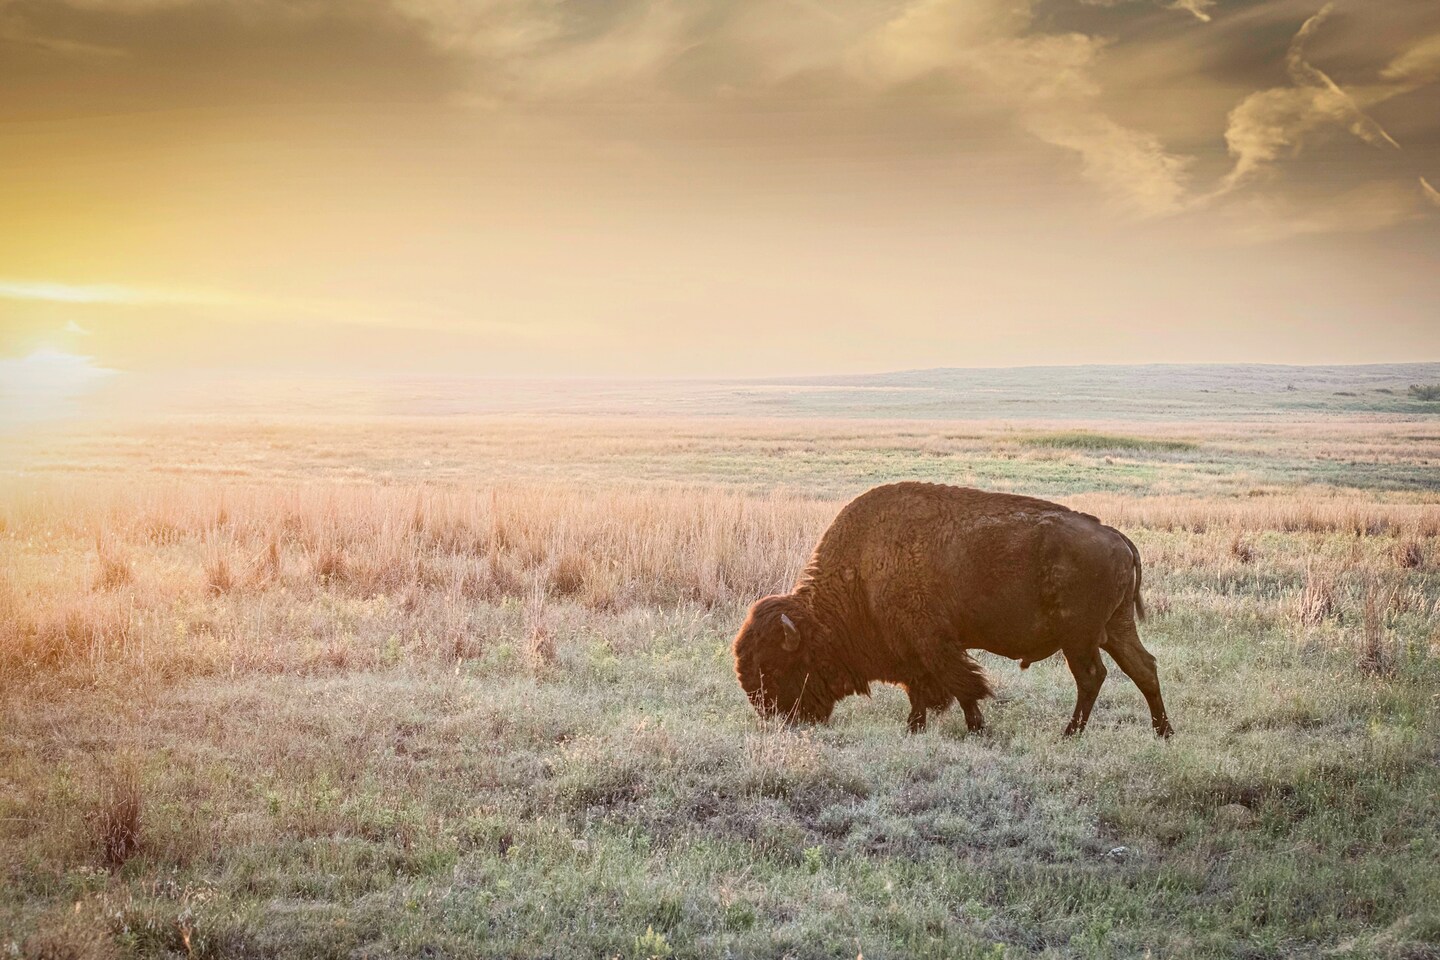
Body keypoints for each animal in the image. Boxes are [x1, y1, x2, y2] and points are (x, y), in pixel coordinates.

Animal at [731, 483, 1169, 742]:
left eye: (776, 666)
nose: (776, 716)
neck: (864, 571)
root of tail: (1118, 538)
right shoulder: (911, 650)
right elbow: (921, 688)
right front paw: (915, 728)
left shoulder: (932, 642)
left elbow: (961, 684)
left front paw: (975, 729)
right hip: (1116, 628)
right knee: (1144, 668)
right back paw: (1163, 732)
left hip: (1079, 639)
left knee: (1092, 677)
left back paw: (1070, 734)